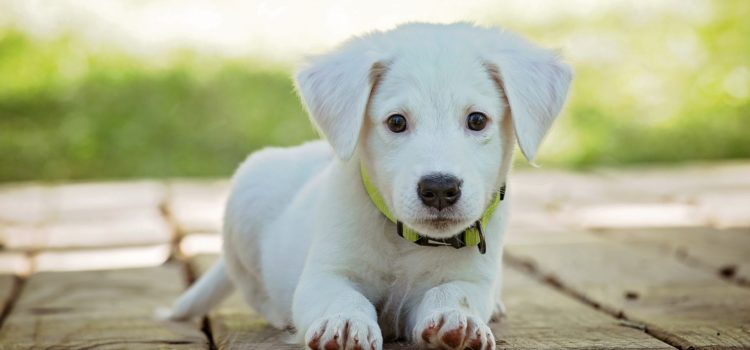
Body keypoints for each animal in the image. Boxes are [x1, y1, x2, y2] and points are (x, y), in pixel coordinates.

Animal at [169, 22, 568, 350]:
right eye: (396, 122)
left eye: (477, 120)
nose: (440, 189)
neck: (406, 241)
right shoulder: (326, 274)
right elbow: (345, 297)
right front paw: (345, 323)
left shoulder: (471, 279)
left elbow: (454, 292)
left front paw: (457, 320)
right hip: (247, 197)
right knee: (256, 291)